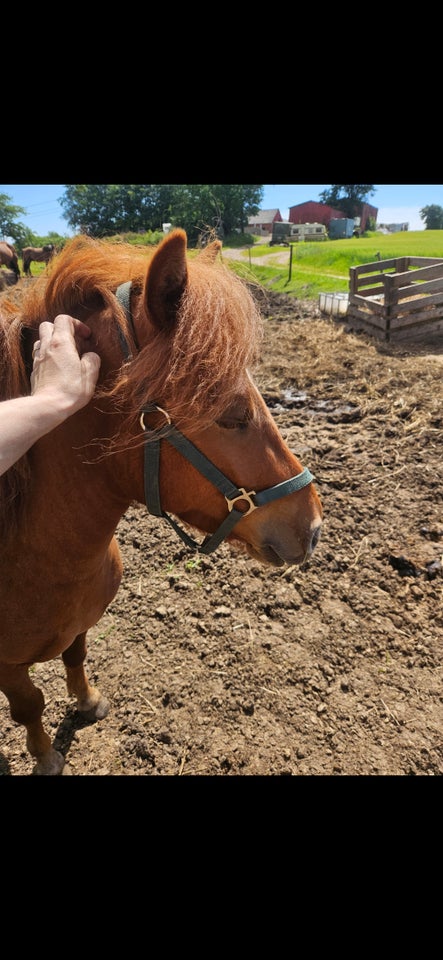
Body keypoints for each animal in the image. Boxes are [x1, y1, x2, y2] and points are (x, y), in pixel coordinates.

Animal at [0, 231, 322, 772]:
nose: (314, 526)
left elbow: (76, 657)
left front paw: (88, 702)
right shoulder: (6, 667)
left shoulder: (80, 626)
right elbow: (30, 706)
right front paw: (45, 755)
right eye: (232, 414)